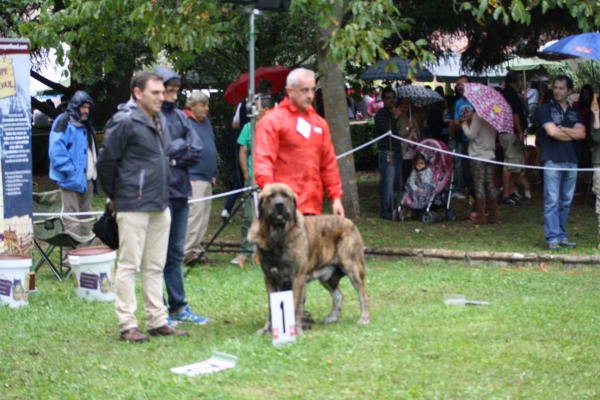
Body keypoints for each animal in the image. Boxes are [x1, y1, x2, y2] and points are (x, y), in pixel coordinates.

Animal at [245, 184, 368, 334]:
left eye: (285, 196)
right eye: (271, 196)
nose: (279, 204)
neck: (278, 236)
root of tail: (349, 221)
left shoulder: (297, 277)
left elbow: (296, 304)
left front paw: (296, 330)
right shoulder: (270, 278)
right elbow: (271, 306)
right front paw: (268, 329)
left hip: (352, 267)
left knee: (363, 294)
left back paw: (364, 318)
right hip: (327, 276)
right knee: (338, 295)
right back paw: (331, 318)